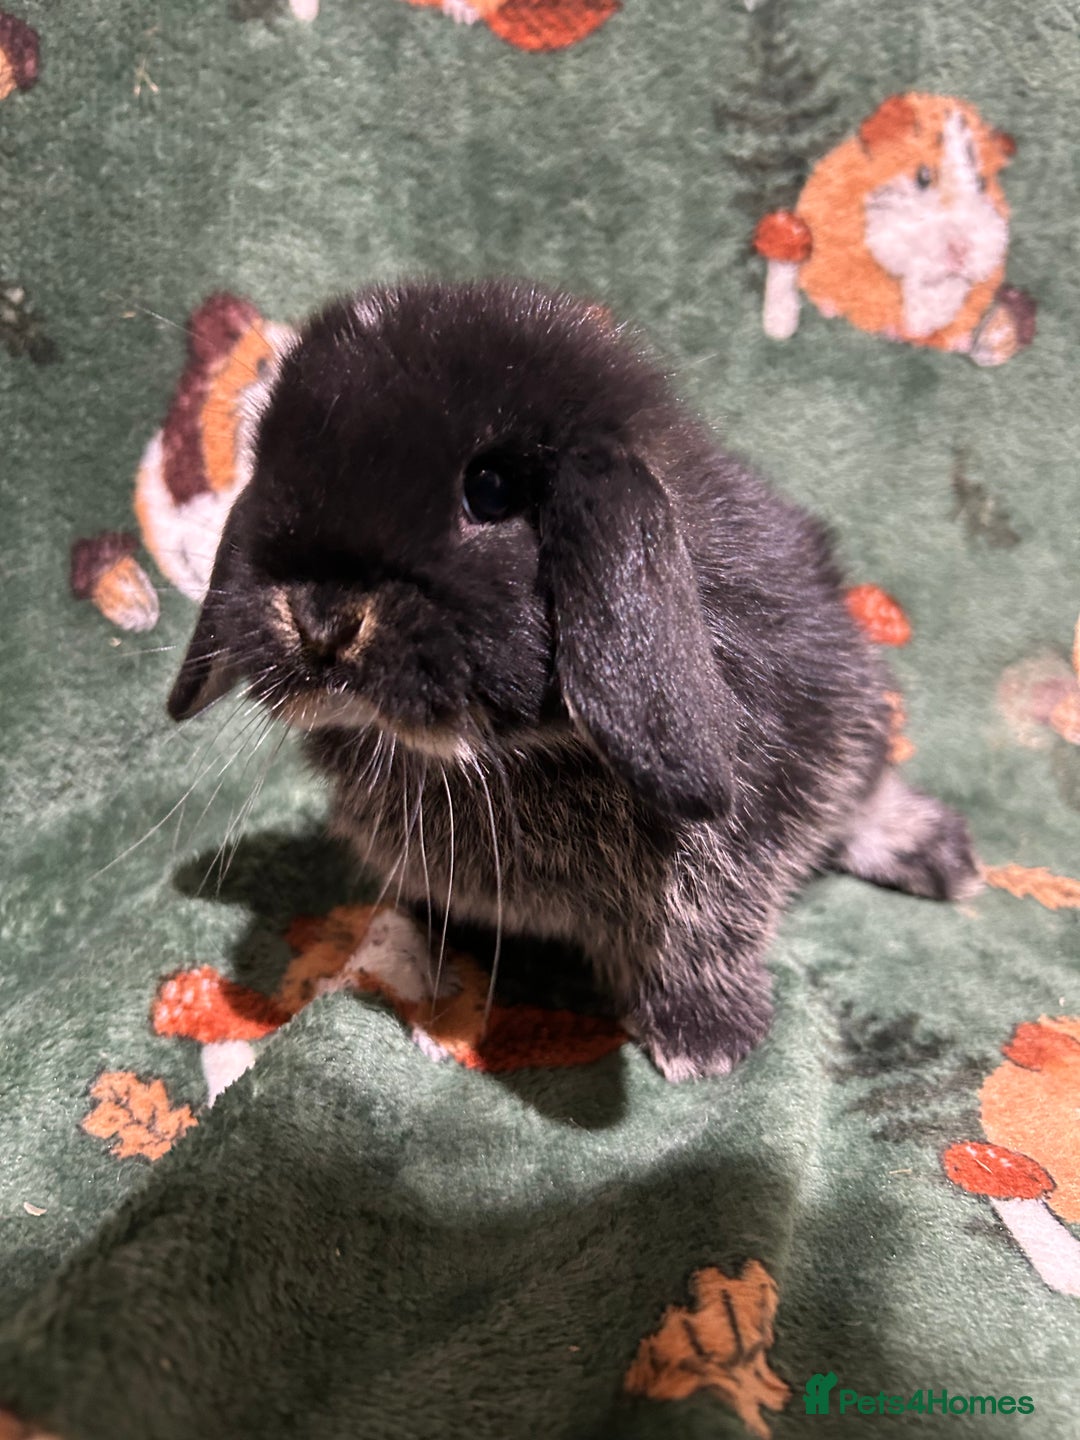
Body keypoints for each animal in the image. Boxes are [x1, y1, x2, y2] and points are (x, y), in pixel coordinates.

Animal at [168, 279, 981, 1081]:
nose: (321, 619)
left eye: (491, 490)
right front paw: (419, 982)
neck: (509, 760)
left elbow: (704, 923)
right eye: (271, 475)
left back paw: (942, 858)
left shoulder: (732, 840)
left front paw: (705, 1039)